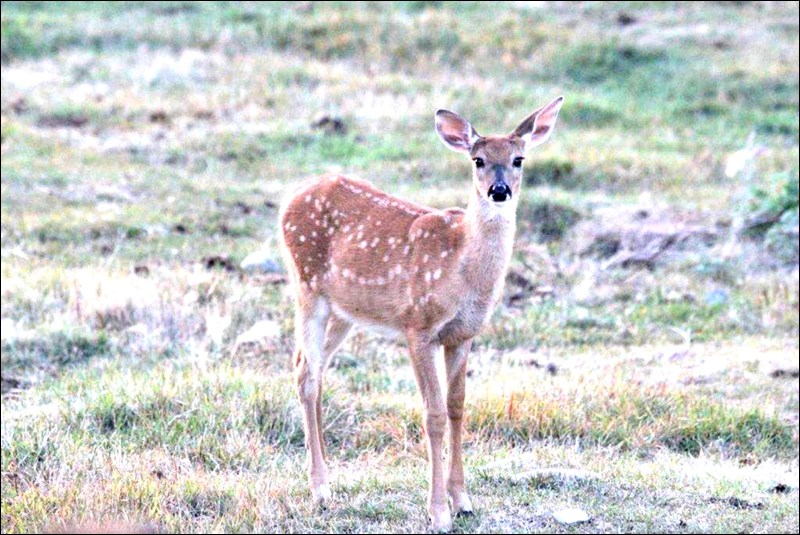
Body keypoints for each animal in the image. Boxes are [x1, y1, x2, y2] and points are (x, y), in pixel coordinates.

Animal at [278, 97, 564, 532]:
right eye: (478, 160)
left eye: (519, 159)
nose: (499, 191)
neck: (462, 266)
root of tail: (291, 199)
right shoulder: (419, 326)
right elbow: (433, 414)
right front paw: (438, 512)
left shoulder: (463, 334)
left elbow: (457, 406)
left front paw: (463, 501)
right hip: (307, 288)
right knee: (306, 374)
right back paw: (321, 489)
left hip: (345, 310)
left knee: (311, 367)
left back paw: (327, 473)